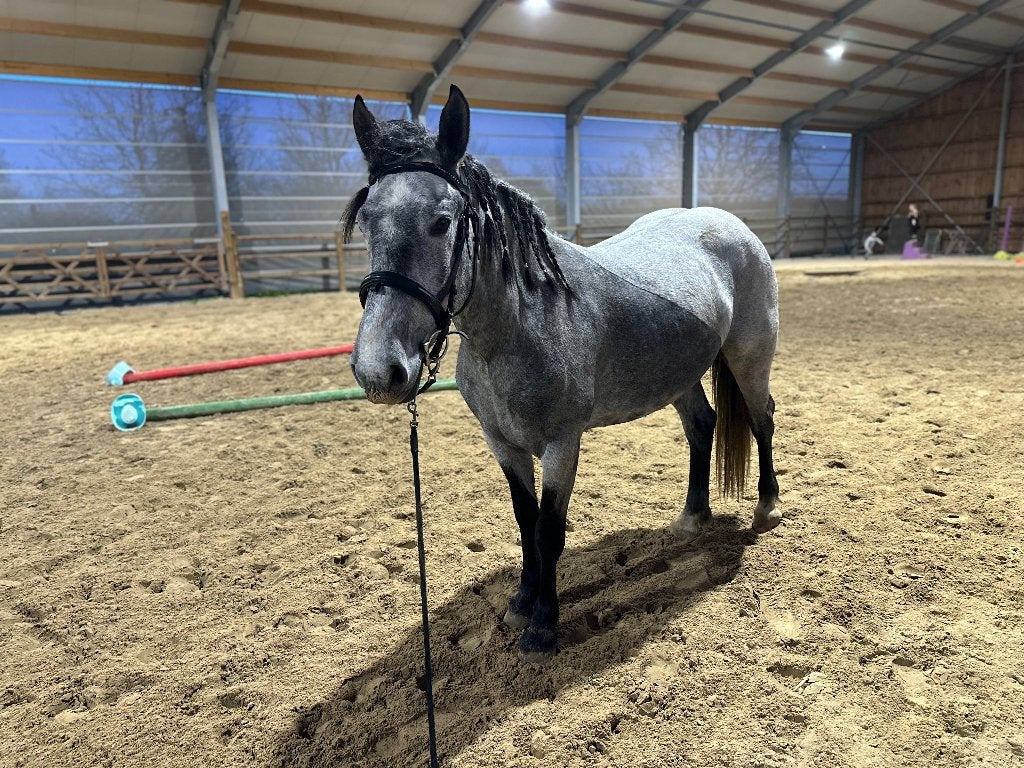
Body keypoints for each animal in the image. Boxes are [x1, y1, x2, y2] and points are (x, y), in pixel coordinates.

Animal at [346, 85, 780, 664]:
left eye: (442, 221)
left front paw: (543, 627)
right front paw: (520, 603)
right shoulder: (502, 444)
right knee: (701, 426)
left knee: (761, 420)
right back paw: (692, 519)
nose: (379, 369)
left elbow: (550, 531)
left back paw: (768, 507)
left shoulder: (561, 443)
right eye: (367, 220)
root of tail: (731, 225)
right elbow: (525, 522)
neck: (516, 329)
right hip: (680, 375)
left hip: (750, 358)